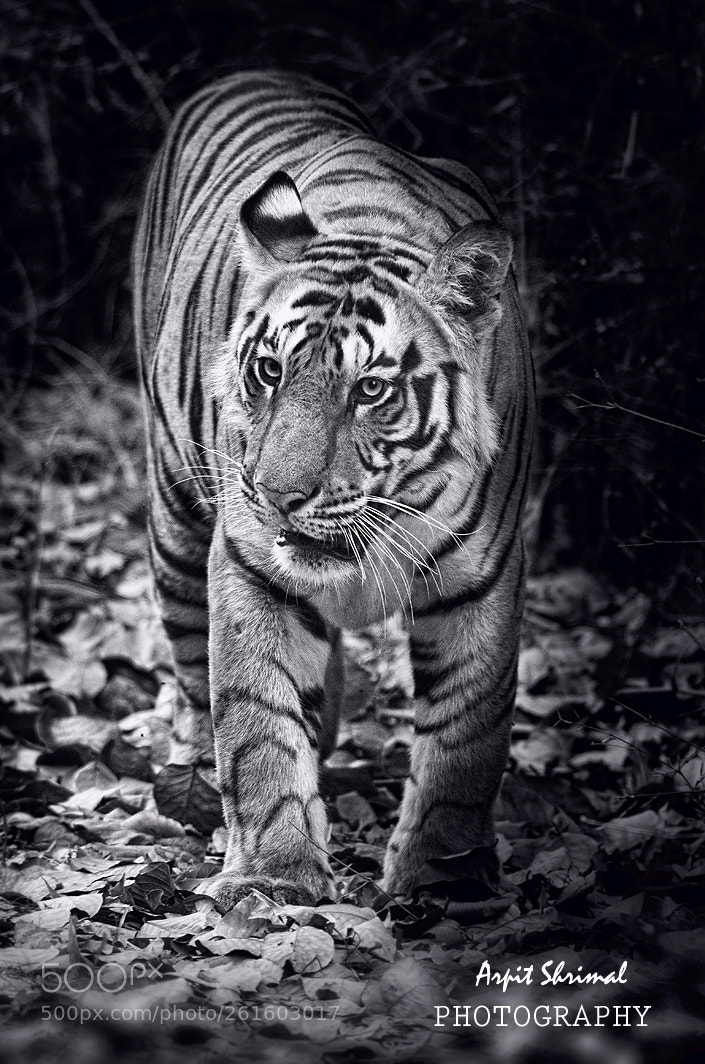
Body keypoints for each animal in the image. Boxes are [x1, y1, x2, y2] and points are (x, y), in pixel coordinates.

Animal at [133, 69, 536, 908]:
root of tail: (250, 69)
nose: (276, 494)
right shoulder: (249, 566)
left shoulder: (484, 576)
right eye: (268, 371)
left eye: (370, 390)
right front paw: (274, 875)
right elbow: (255, 720)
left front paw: (443, 877)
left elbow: (467, 732)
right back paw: (195, 795)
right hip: (176, 524)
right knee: (192, 668)